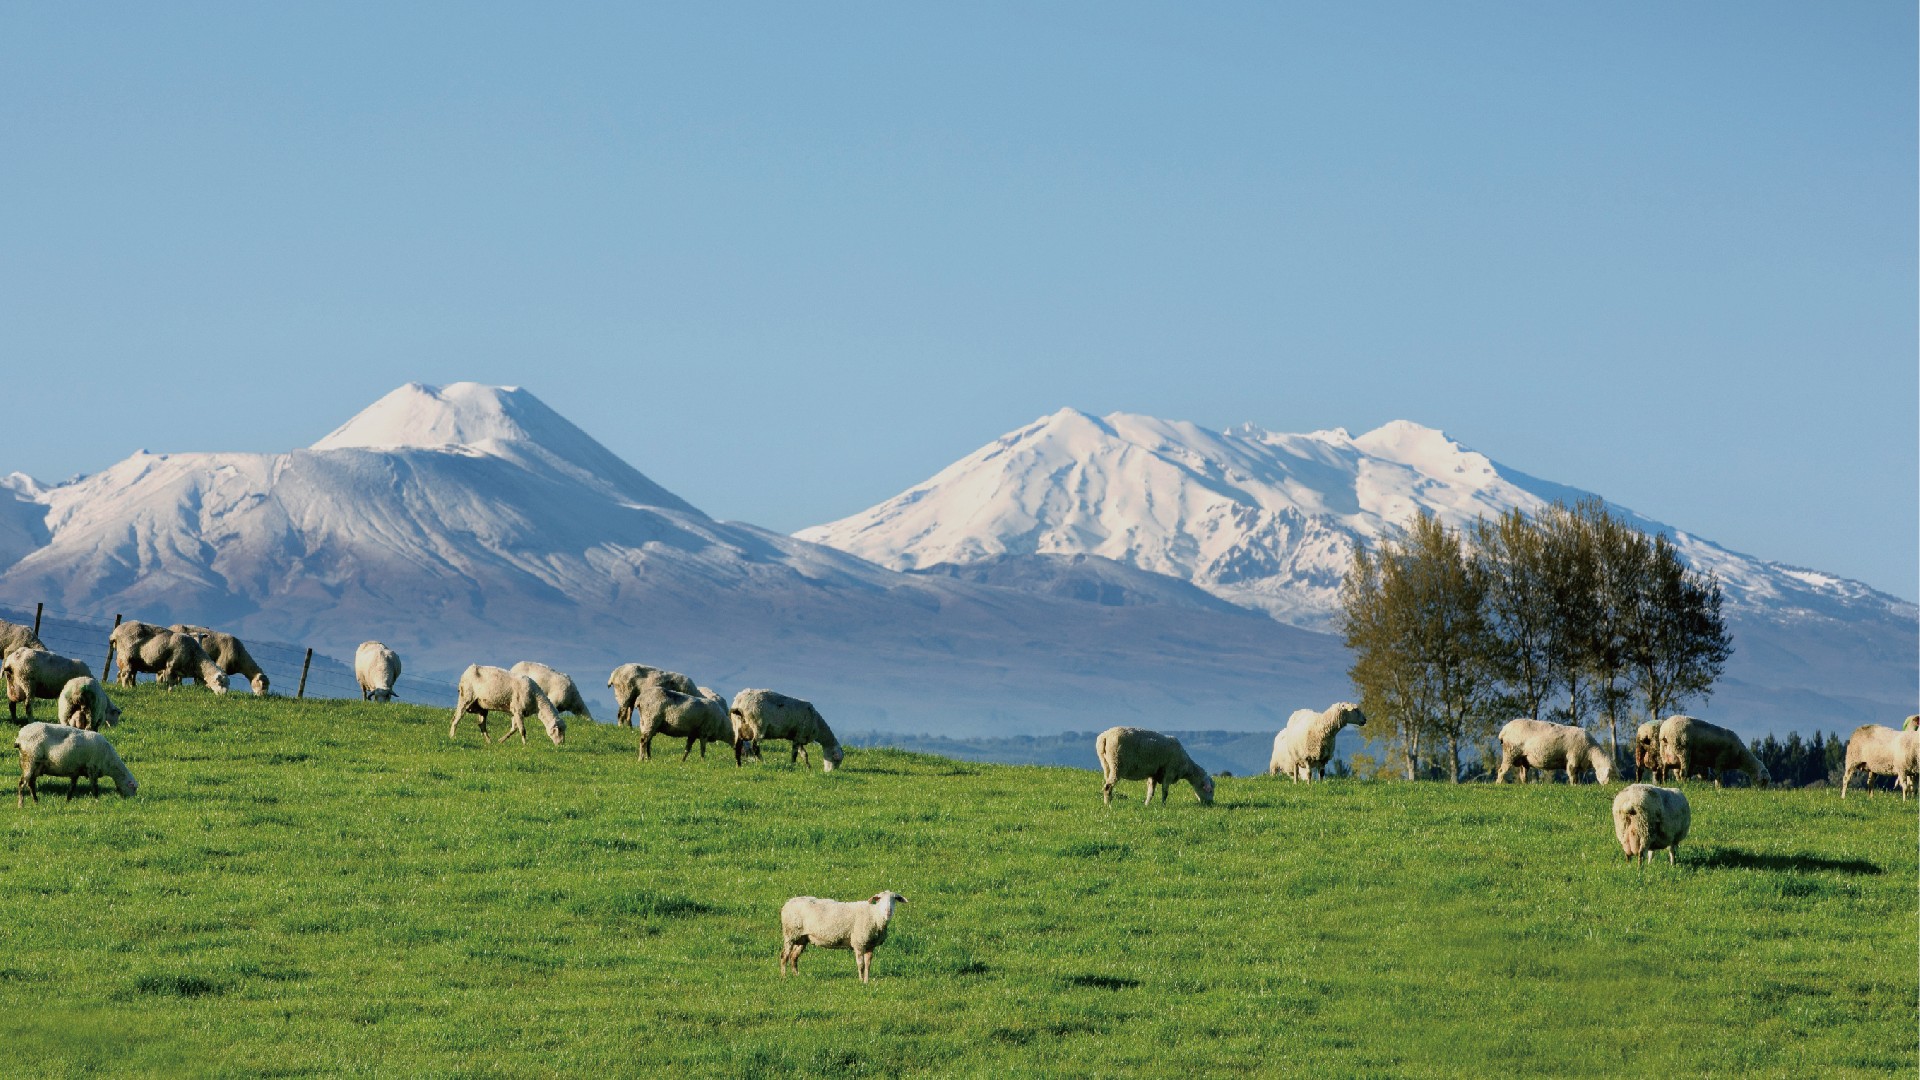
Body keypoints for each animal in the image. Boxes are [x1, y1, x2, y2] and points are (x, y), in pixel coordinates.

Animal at [779, 892, 908, 983]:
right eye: (880, 899)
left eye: (894, 899)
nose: (888, 911)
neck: (874, 916)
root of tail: (787, 903)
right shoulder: (859, 943)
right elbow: (861, 965)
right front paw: (861, 981)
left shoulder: (870, 945)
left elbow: (868, 965)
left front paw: (867, 982)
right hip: (790, 934)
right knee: (784, 956)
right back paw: (784, 977)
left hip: (802, 938)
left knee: (793, 957)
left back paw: (796, 976)